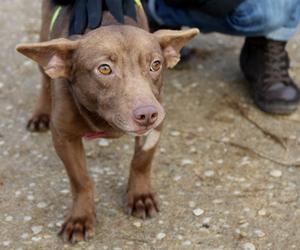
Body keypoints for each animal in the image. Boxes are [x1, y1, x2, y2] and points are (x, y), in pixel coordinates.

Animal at [16, 0, 199, 243]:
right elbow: (80, 180)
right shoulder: (64, 137)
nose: (148, 114)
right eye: (104, 69)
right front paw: (81, 217)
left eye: (155, 64)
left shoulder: (156, 126)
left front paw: (140, 196)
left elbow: (141, 161)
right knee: (45, 79)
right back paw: (40, 113)